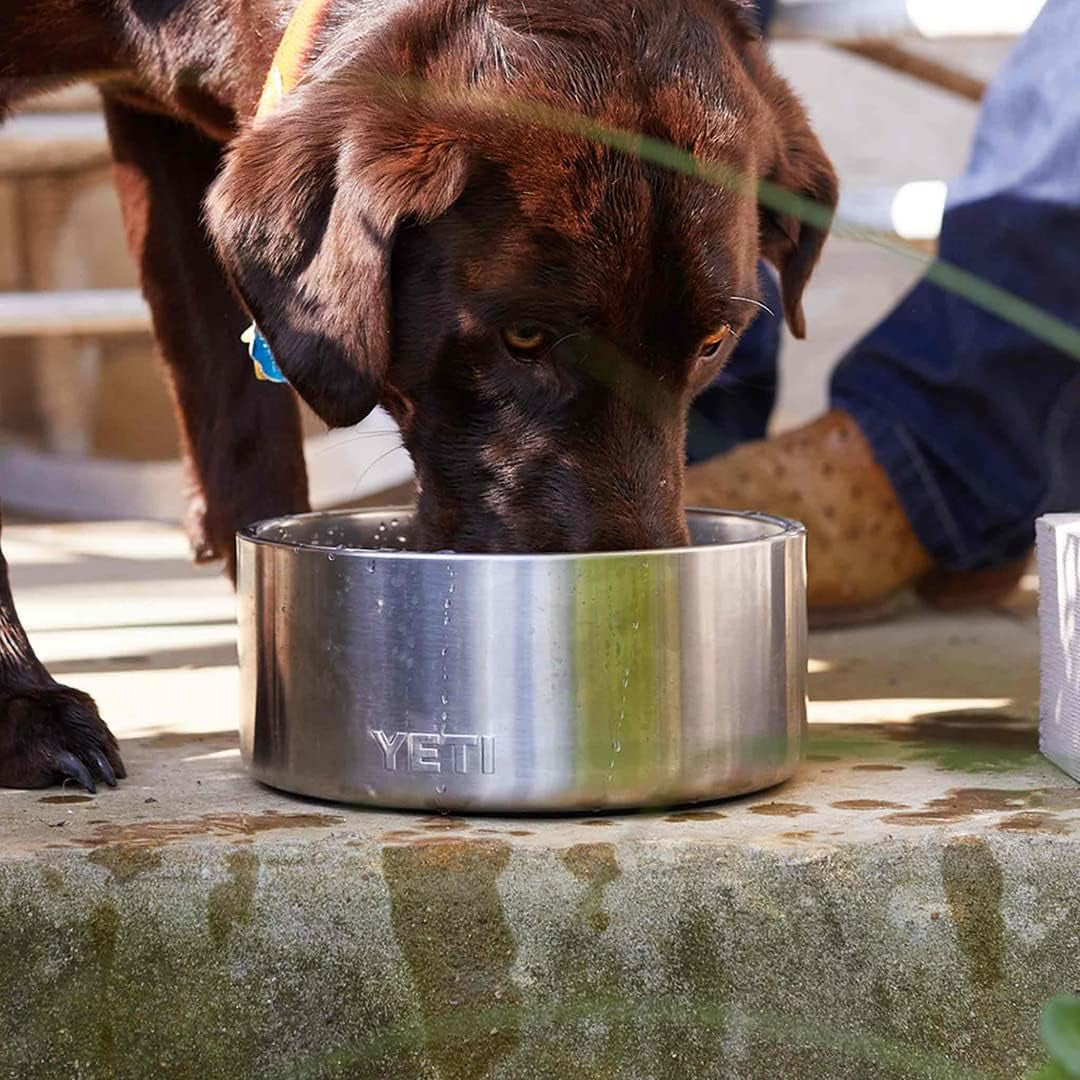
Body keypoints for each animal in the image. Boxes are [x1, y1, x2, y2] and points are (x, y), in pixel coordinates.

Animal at [0, 2, 833, 794]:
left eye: (713, 342)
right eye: (524, 336)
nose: (625, 604)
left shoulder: (167, 139)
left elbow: (245, 433)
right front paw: (24, 706)